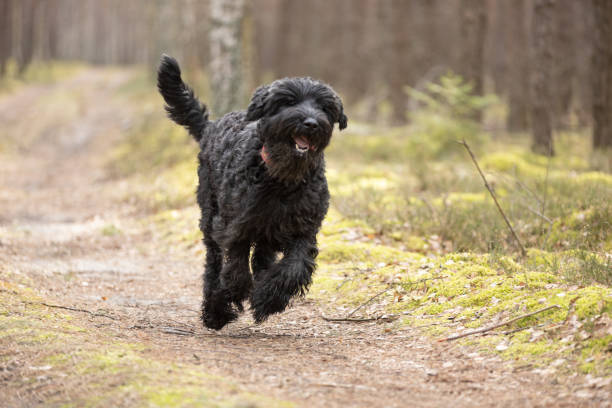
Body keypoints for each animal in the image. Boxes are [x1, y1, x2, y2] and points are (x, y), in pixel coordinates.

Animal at [155, 55, 346, 328]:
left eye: (324, 107)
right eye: (288, 101)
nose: (311, 123)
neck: (282, 180)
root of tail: (211, 126)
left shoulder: (303, 229)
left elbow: (294, 267)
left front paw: (268, 299)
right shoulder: (235, 224)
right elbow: (236, 265)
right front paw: (233, 295)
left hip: (266, 231)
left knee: (261, 259)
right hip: (210, 216)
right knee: (214, 263)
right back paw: (214, 310)